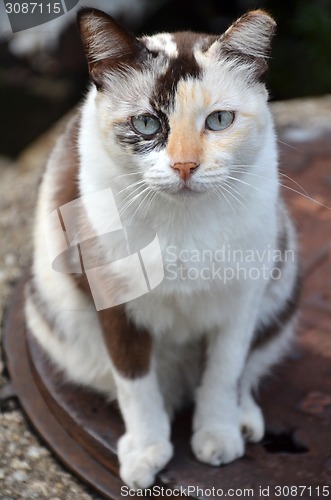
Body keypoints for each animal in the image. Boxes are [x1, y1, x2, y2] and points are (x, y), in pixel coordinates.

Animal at [25, 6, 300, 488]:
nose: (185, 165)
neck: (182, 226)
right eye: (147, 123)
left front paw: (218, 435)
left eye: (219, 120)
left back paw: (244, 419)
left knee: (248, 366)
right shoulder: (114, 300)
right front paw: (146, 452)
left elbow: (226, 370)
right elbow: (135, 384)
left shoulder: (242, 297)